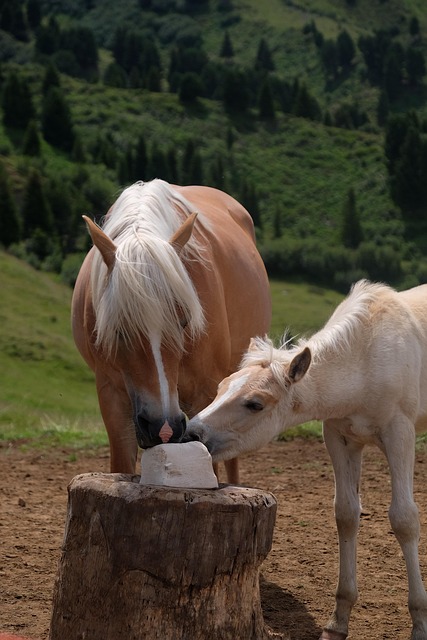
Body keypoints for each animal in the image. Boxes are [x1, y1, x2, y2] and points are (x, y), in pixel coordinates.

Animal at [71, 179, 271, 483]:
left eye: (184, 321)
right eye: (119, 329)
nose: (163, 427)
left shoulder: (204, 391)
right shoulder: (111, 393)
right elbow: (121, 464)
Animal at [185, 279, 427, 640]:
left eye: (255, 404)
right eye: (221, 387)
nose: (190, 432)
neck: (365, 357)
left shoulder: (400, 434)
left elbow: (404, 519)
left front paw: (420, 623)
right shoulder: (340, 438)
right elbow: (346, 514)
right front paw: (338, 621)